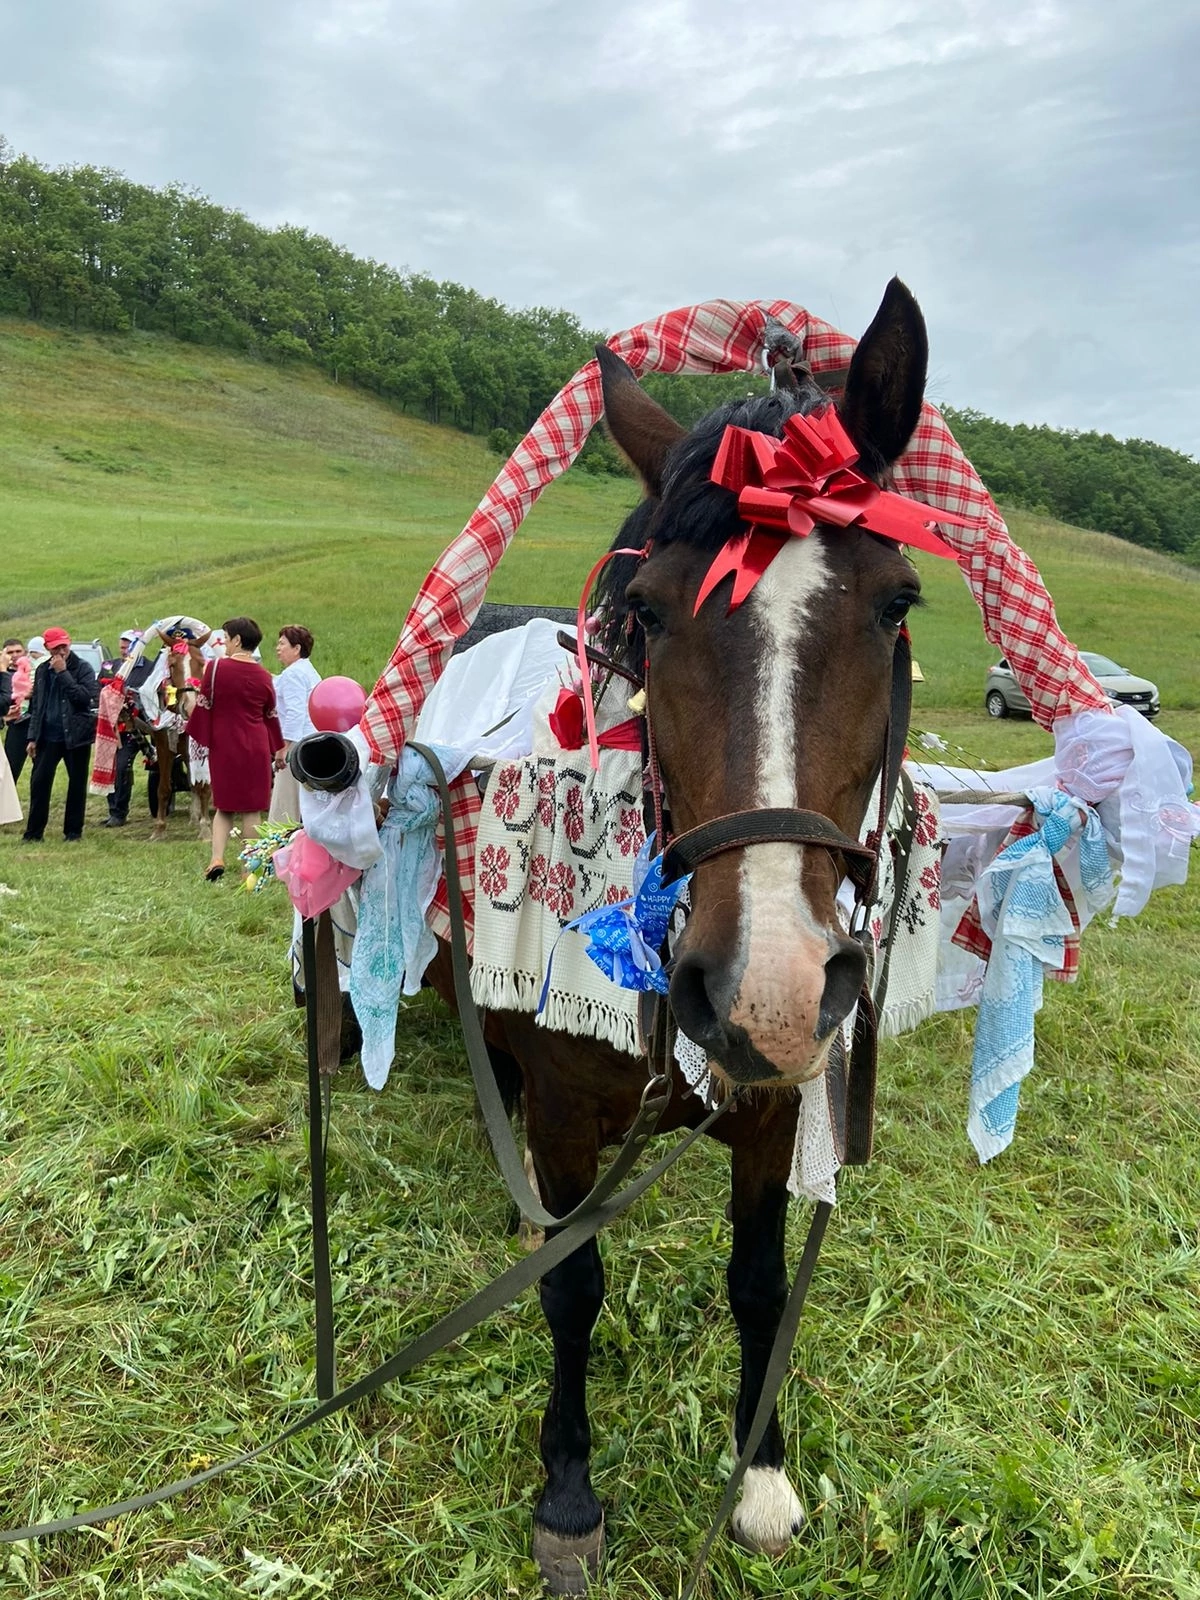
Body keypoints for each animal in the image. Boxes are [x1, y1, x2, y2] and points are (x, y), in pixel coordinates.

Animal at [422, 275, 928, 1587]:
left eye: (896, 603)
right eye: (648, 613)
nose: (768, 991)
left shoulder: (770, 1108)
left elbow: (759, 1283)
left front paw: (760, 1474)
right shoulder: (563, 1111)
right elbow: (574, 1287)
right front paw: (567, 1488)